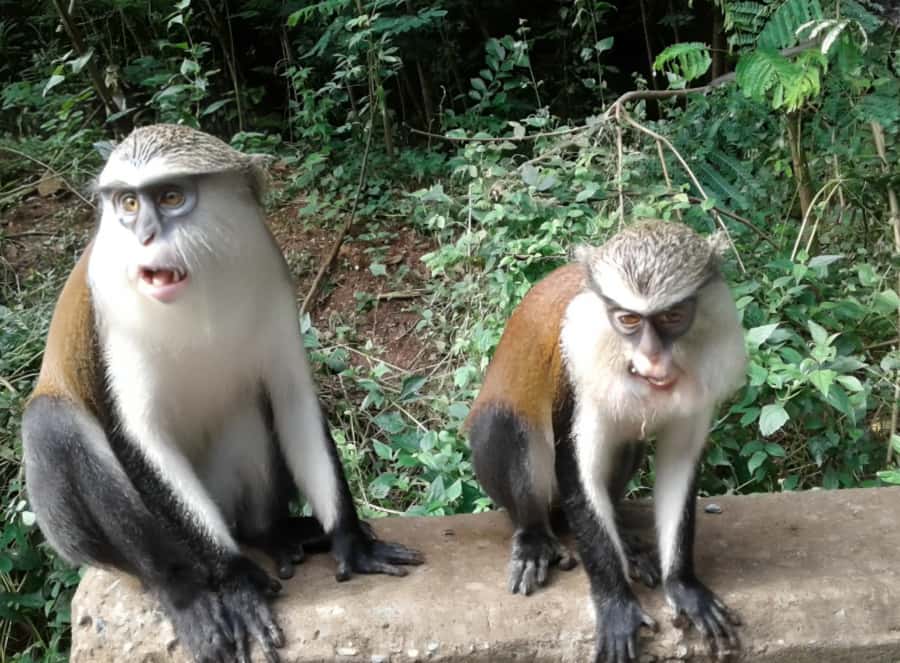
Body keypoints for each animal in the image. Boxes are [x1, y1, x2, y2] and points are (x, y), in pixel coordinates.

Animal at [22, 124, 423, 663]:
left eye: (171, 197)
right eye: (128, 203)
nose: (144, 235)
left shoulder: (269, 273)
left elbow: (292, 398)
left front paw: (352, 541)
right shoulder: (110, 307)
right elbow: (141, 436)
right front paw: (234, 582)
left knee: (248, 407)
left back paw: (271, 533)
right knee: (51, 423)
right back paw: (186, 591)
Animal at [466, 221, 747, 662]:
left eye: (672, 316)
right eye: (628, 319)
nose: (653, 359)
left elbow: (679, 465)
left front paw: (684, 586)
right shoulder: (576, 371)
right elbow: (578, 471)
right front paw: (615, 604)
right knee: (505, 426)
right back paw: (534, 537)